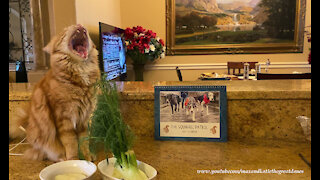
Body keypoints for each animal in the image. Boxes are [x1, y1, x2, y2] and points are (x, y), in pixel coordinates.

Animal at [9, 24, 100, 162]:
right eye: (66, 29)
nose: (79, 25)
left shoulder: (85, 119)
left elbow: (84, 141)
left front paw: (86, 156)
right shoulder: (64, 119)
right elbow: (71, 144)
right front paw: (74, 160)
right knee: (49, 153)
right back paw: (62, 159)